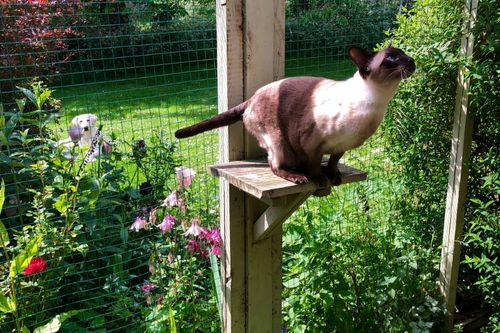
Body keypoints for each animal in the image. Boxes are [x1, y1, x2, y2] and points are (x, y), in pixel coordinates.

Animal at [174, 44, 416, 189]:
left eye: (403, 54)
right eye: (391, 59)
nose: (412, 61)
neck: (376, 103)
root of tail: (251, 98)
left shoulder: (341, 146)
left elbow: (333, 162)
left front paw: (334, 175)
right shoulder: (313, 143)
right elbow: (315, 165)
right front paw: (321, 179)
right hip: (279, 142)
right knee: (274, 165)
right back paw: (298, 176)